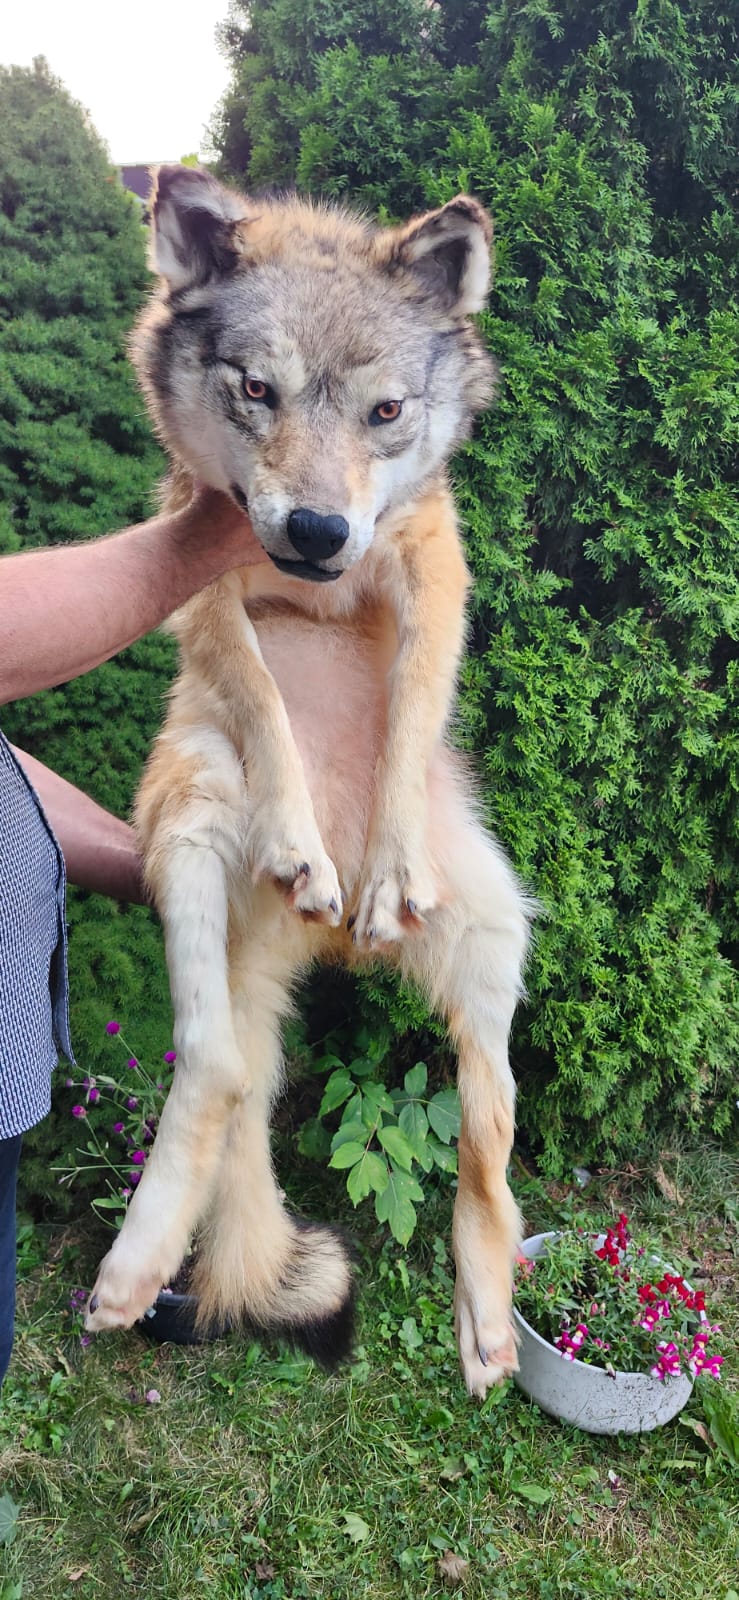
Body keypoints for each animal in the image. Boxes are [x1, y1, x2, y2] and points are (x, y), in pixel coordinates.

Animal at [85, 164, 532, 1397]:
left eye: (385, 412)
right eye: (256, 390)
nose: (322, 528)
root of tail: (311, 948)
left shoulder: (435, 568)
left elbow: (412, 713)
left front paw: (385, 865)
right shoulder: (196, 582)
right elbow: (267, 705)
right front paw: (301, 836)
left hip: (496, 952)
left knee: (488, 1146)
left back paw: (487, 1323)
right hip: (187, 821)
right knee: (221, 1066)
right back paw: (135, 1268)